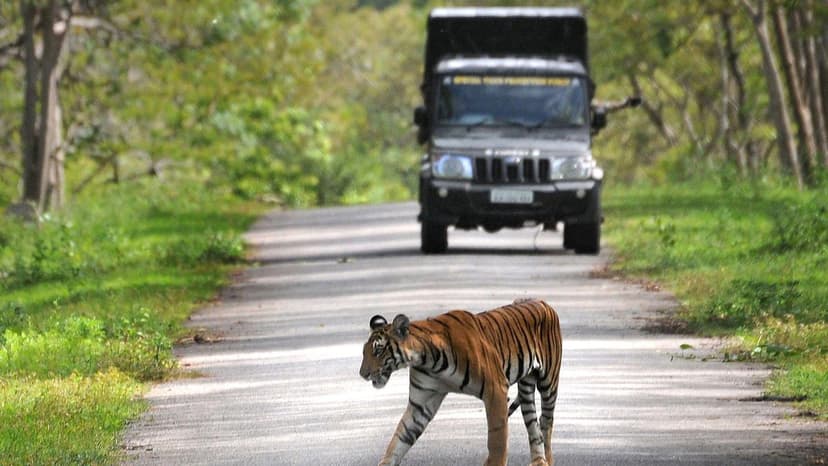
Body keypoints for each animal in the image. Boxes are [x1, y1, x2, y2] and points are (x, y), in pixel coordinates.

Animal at [359, 298, 563, 466]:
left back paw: (548, 460)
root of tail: (544, 303)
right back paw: (538, 461)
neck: (427, 360)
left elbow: (497, 438)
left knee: (546, 421)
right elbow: (400, 438)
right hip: (526, 388)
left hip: (549, 383)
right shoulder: (421, 403)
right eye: (364, 351)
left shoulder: (496, 390)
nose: (362, 374)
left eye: (378, 350)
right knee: (533, 424)